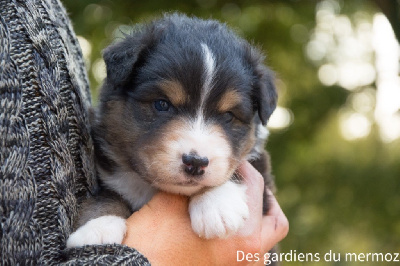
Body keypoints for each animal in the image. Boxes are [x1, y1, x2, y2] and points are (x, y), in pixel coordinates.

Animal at [66, 13, 278, 247]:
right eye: (162, 104)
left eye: (228, 116)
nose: (196, 162)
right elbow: (106, 196)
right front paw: (96, 228)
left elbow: (239, 167)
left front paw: (216, 205)